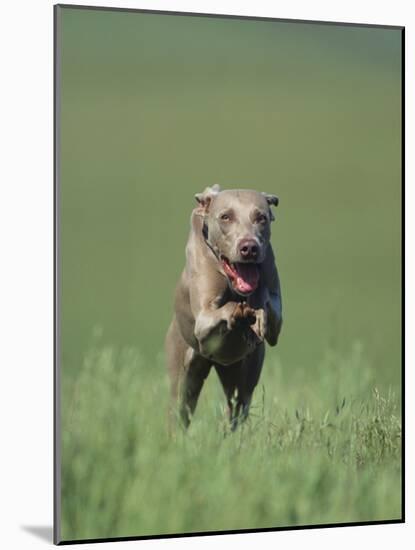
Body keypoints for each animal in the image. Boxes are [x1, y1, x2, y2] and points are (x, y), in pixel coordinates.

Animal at [166, 185, 282, 432]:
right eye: (225, 217)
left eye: (261, 217)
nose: (249, 248)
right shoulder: (204, 321)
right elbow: (222, 310)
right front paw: (240, 311)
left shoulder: (277, 318)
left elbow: (269, 308)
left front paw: (257, 314)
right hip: (182, 374)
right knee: (179, 410)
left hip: (242, 375)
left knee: (236, 408)